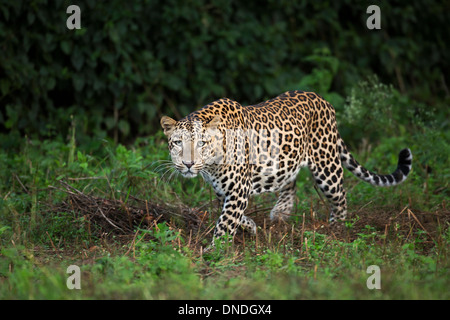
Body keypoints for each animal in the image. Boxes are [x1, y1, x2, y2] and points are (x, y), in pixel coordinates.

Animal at [160, 90, 414, 245]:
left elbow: (226, 221)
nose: (188, 164)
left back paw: (337, 228)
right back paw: (281, 212)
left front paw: (216, 251)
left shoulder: (238, 189)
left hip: (326, 165)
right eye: (177, 142)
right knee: (290, 182)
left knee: (340, 195)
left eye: (201, 143)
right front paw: (250, 227)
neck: (212, 163)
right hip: (284, 160)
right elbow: (233, 215)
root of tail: (323, 100)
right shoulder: (224, 190)